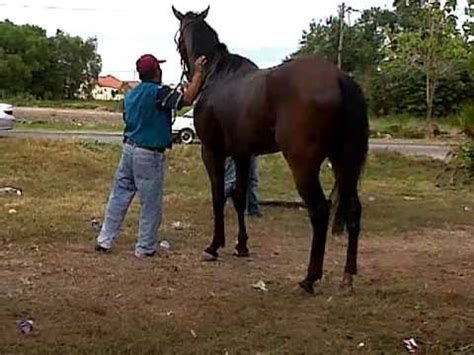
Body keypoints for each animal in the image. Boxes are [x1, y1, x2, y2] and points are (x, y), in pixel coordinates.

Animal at [173, 6, 370, 294]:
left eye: (178, 40)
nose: (188, 78)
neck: (216, 75)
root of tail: (340, 79)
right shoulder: (242, 154)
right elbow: (239, 196)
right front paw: (241, 245)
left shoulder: (212, 151)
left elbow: (219, 196)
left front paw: (214, 246)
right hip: (345, 161)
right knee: (353, 209)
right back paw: (348, 275)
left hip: (304, 165)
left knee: (320, 210)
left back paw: (310, 278)